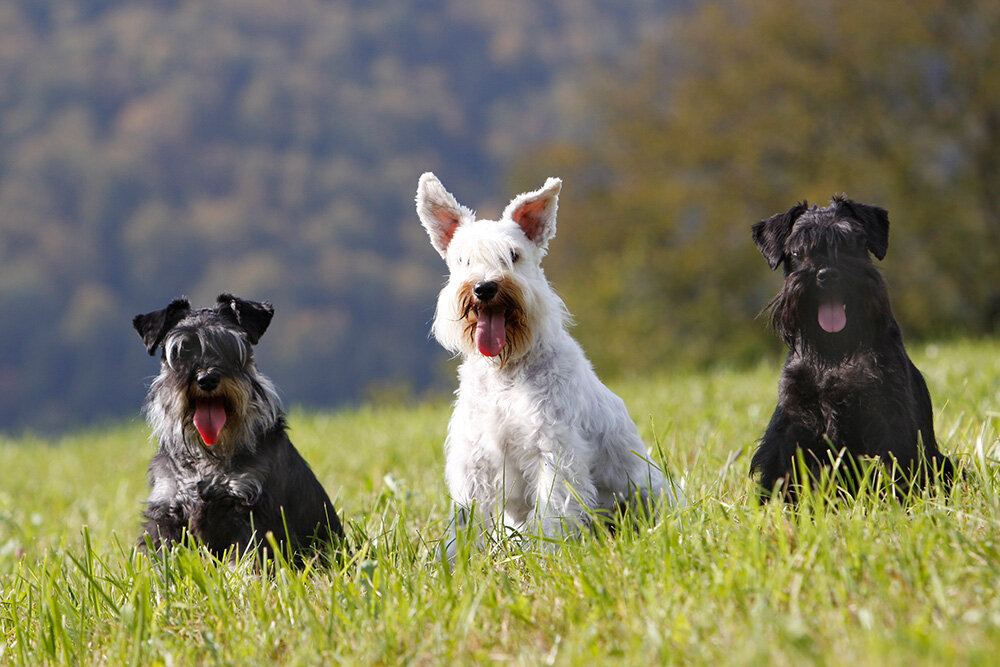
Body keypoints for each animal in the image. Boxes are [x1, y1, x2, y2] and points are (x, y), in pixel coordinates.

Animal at [133, 294, 344, 560]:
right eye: (181, 351)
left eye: (229, 346)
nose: (207, 379)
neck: (208, 456)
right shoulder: (167, 509)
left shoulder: (252, 512)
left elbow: (248, 559)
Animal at [414, 174, 680, 560]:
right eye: (463, 259)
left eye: (513, 255)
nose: (484, 287)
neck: (507, 370)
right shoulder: (475, 460)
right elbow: (466, 520)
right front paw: (454, 561)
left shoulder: (553, 450)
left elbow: (555, 510)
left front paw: (549, 553)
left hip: (650, 492)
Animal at [752, 198, 952, 500]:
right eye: (797, 250)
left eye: (851, 243)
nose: (827, 274)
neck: (833, 355)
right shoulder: (791, 420)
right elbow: (780, 470)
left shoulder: (887, 411)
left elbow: (894, 465)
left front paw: (896, 502)